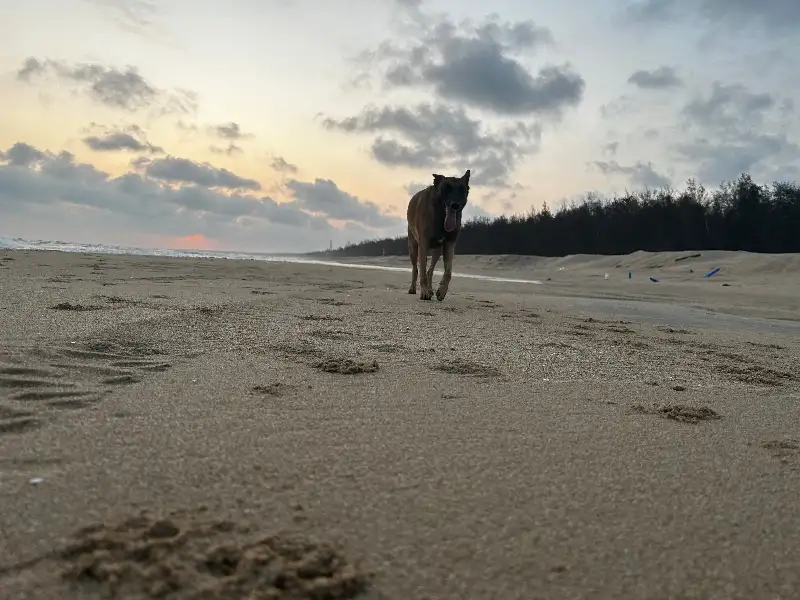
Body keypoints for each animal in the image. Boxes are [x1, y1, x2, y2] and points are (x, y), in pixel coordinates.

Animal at [406, 169, 468, 300]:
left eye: (462, 189)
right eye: (445, 188)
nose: (455, 205)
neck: (440, 215)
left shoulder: (449, 244)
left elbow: (448, 272)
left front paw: (442, 291)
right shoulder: (423, 244)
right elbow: (422, 271)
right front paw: (424, 292)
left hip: (437, 251)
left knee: (430, 270)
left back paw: (430, 289)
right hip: (413, 248)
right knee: (416, 268)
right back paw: (413, 288)